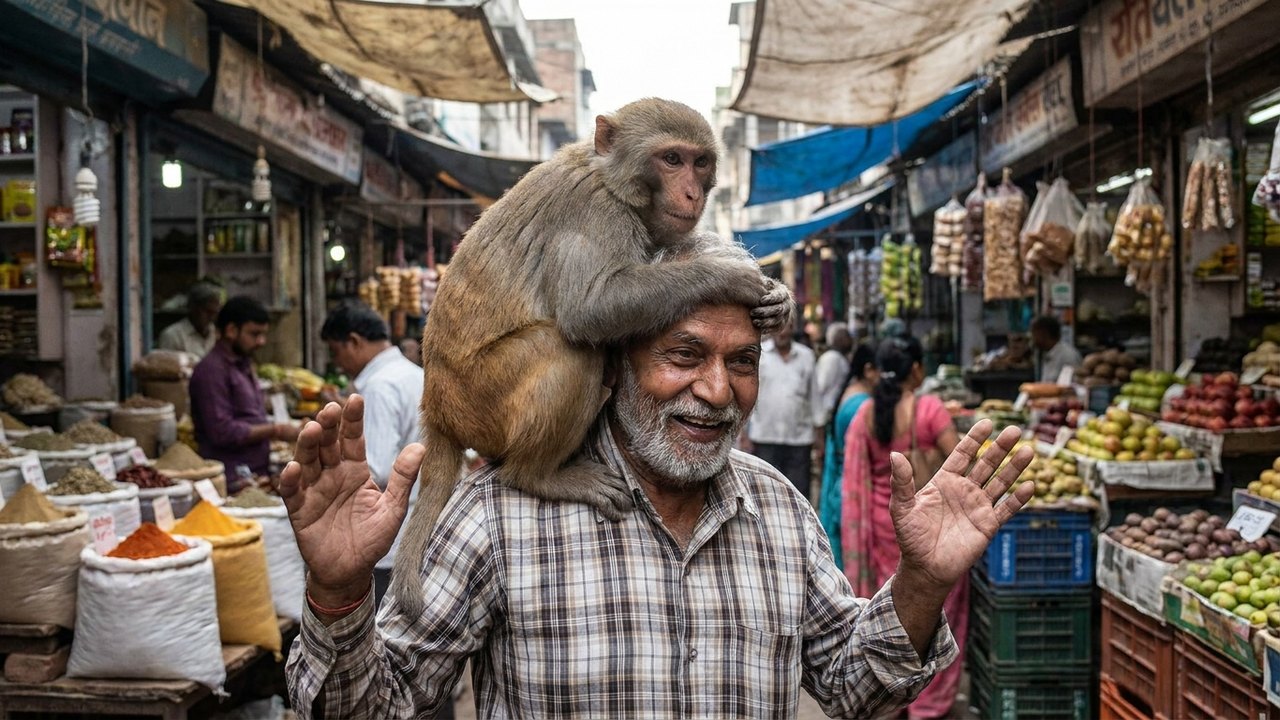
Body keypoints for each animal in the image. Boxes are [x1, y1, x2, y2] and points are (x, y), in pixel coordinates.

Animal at [393, 98, 793, 610]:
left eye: (700, 162)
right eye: (671, 159)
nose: (690, 193)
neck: (610, 176)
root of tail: (437, 409)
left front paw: (779, 300)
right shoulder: (595, 214)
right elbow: (592, 308)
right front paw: (727, 276)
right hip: (481, 398)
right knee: (569, 349)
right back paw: (538, 475)